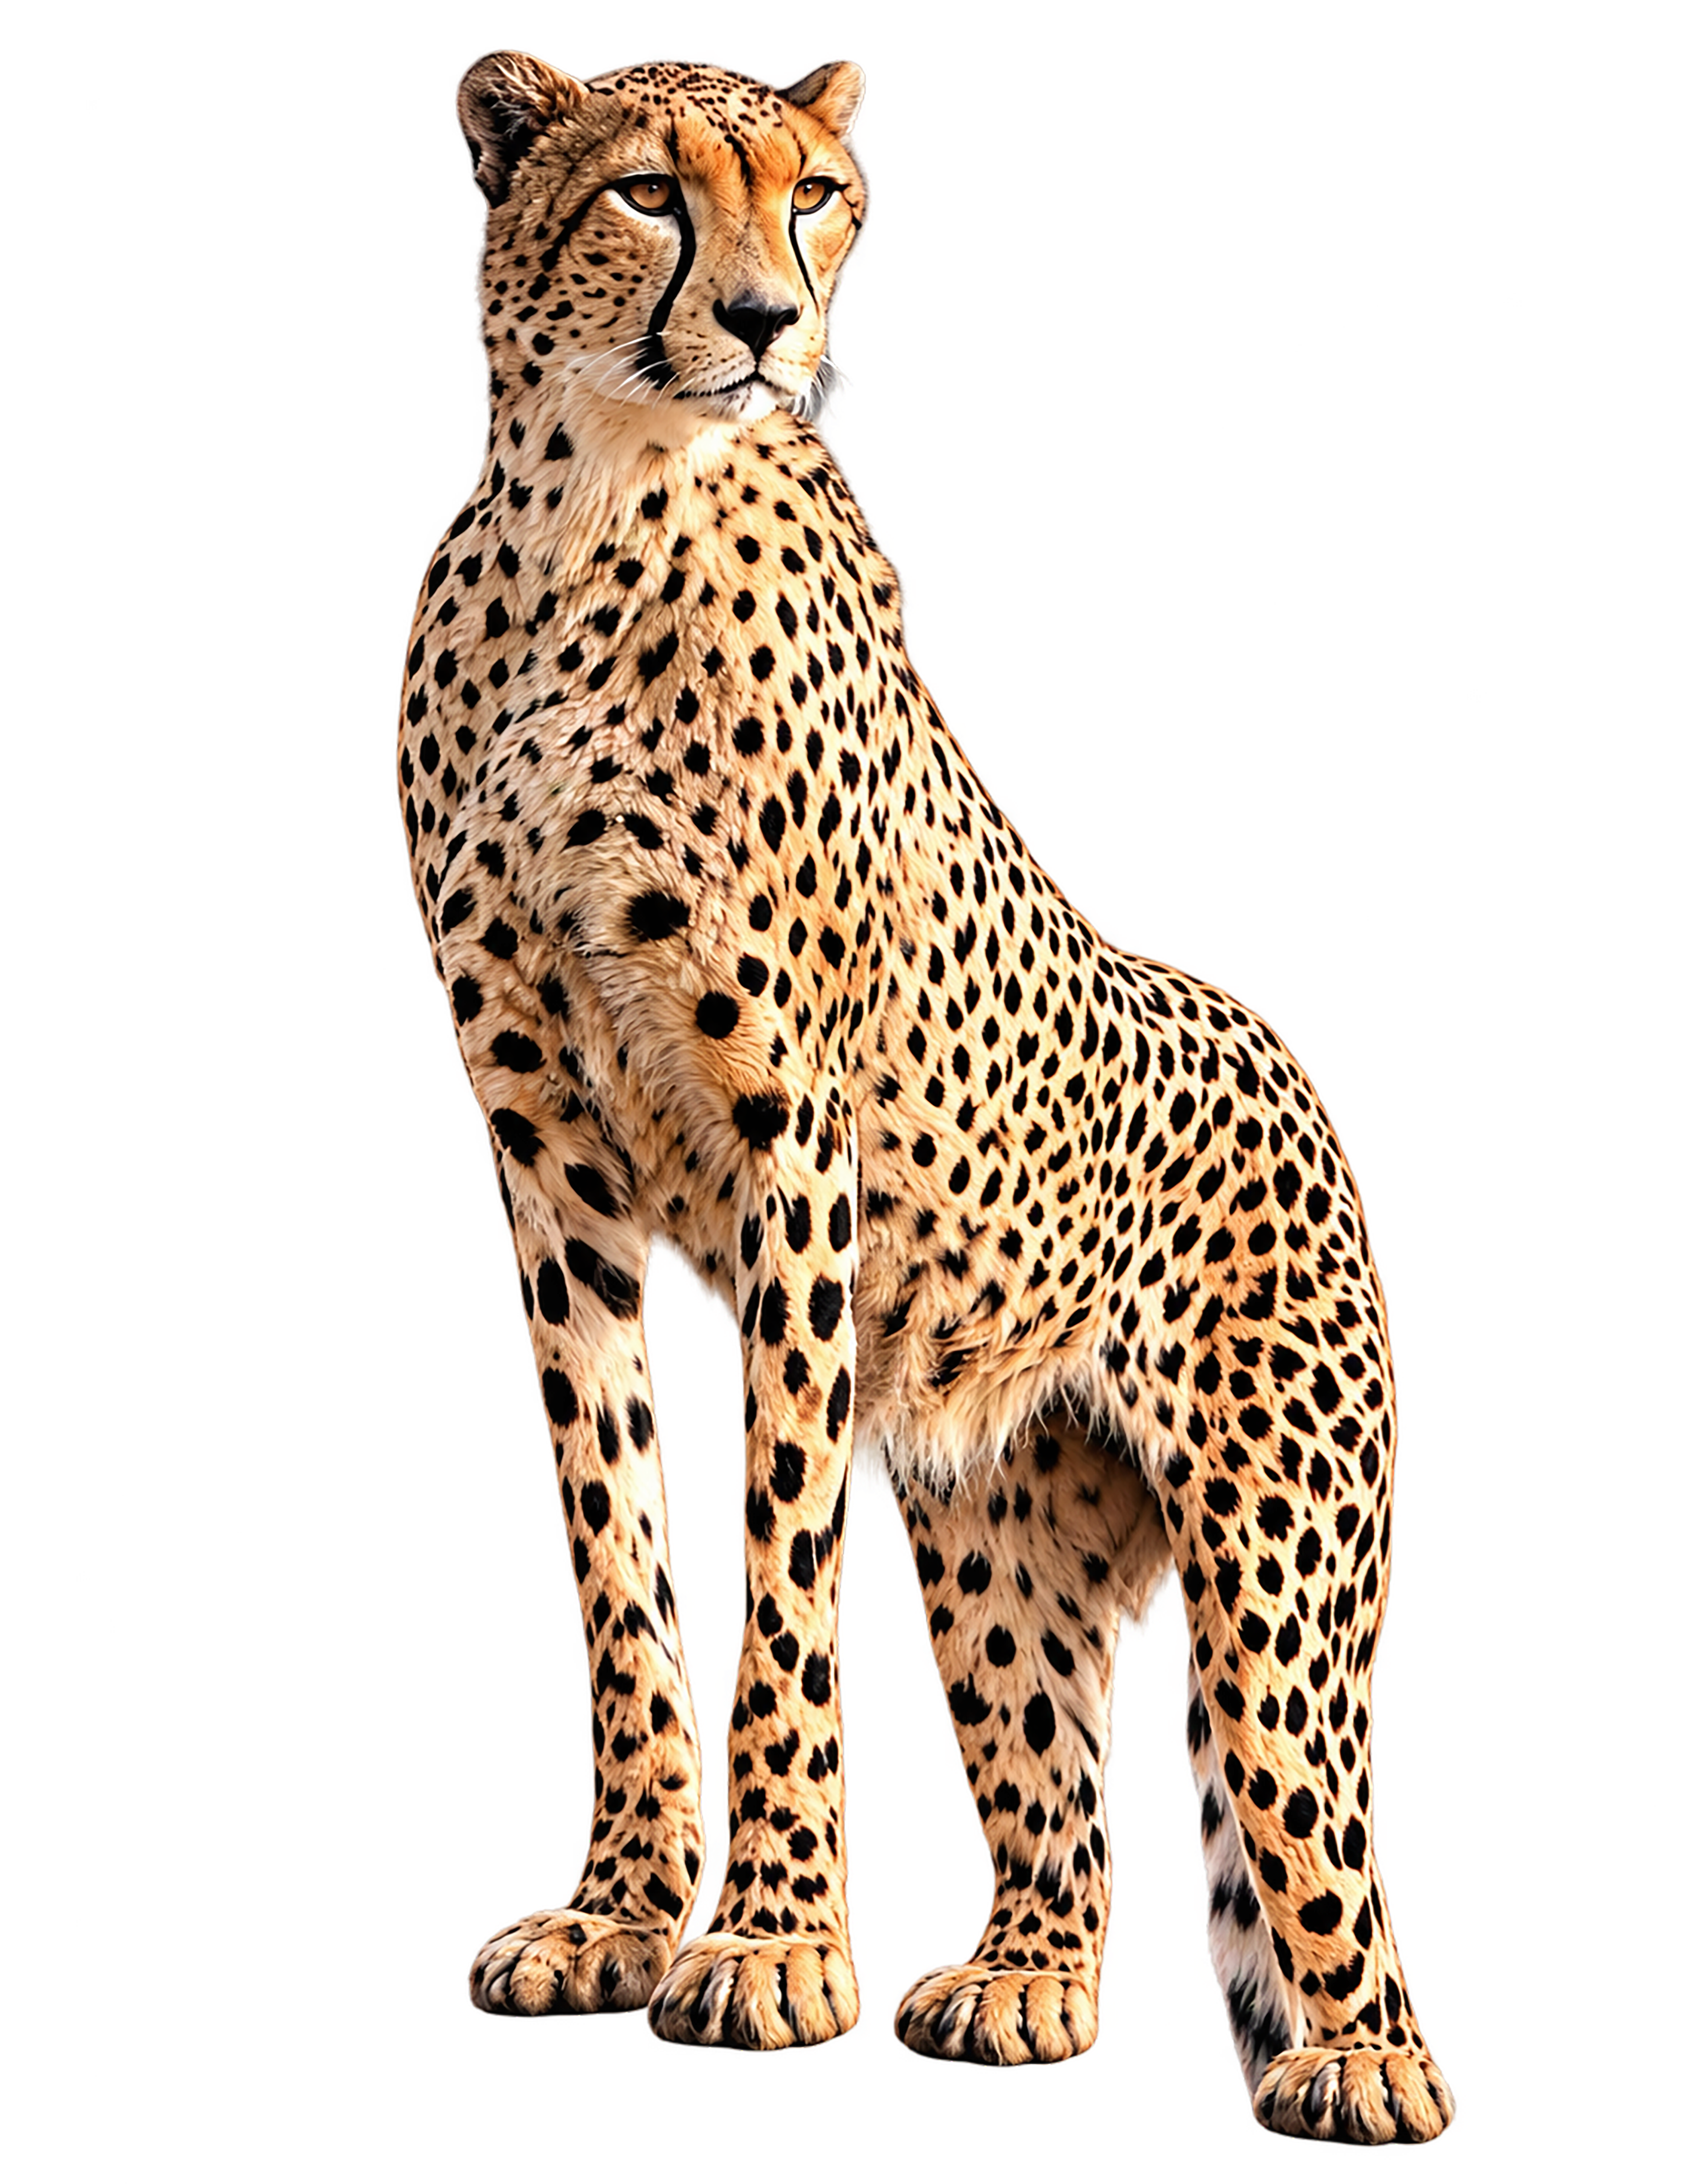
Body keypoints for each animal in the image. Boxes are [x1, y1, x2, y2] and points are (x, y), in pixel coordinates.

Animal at [393, 46, 1460, 2148]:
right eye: (645, 192)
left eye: (810, 194)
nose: (759, 320)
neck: (590, 511)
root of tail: (1283, 1061)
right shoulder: (547, 1155)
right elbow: (618, 1544)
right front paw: (620, 1912)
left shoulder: (792, 1133)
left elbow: (778, 1563)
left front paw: (770, 1941)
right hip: (997, 1545)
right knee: (1073, 1817)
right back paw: (1018, 1989)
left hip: (1273, 1571)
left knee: (1321, 1865)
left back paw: (1367, 2071)